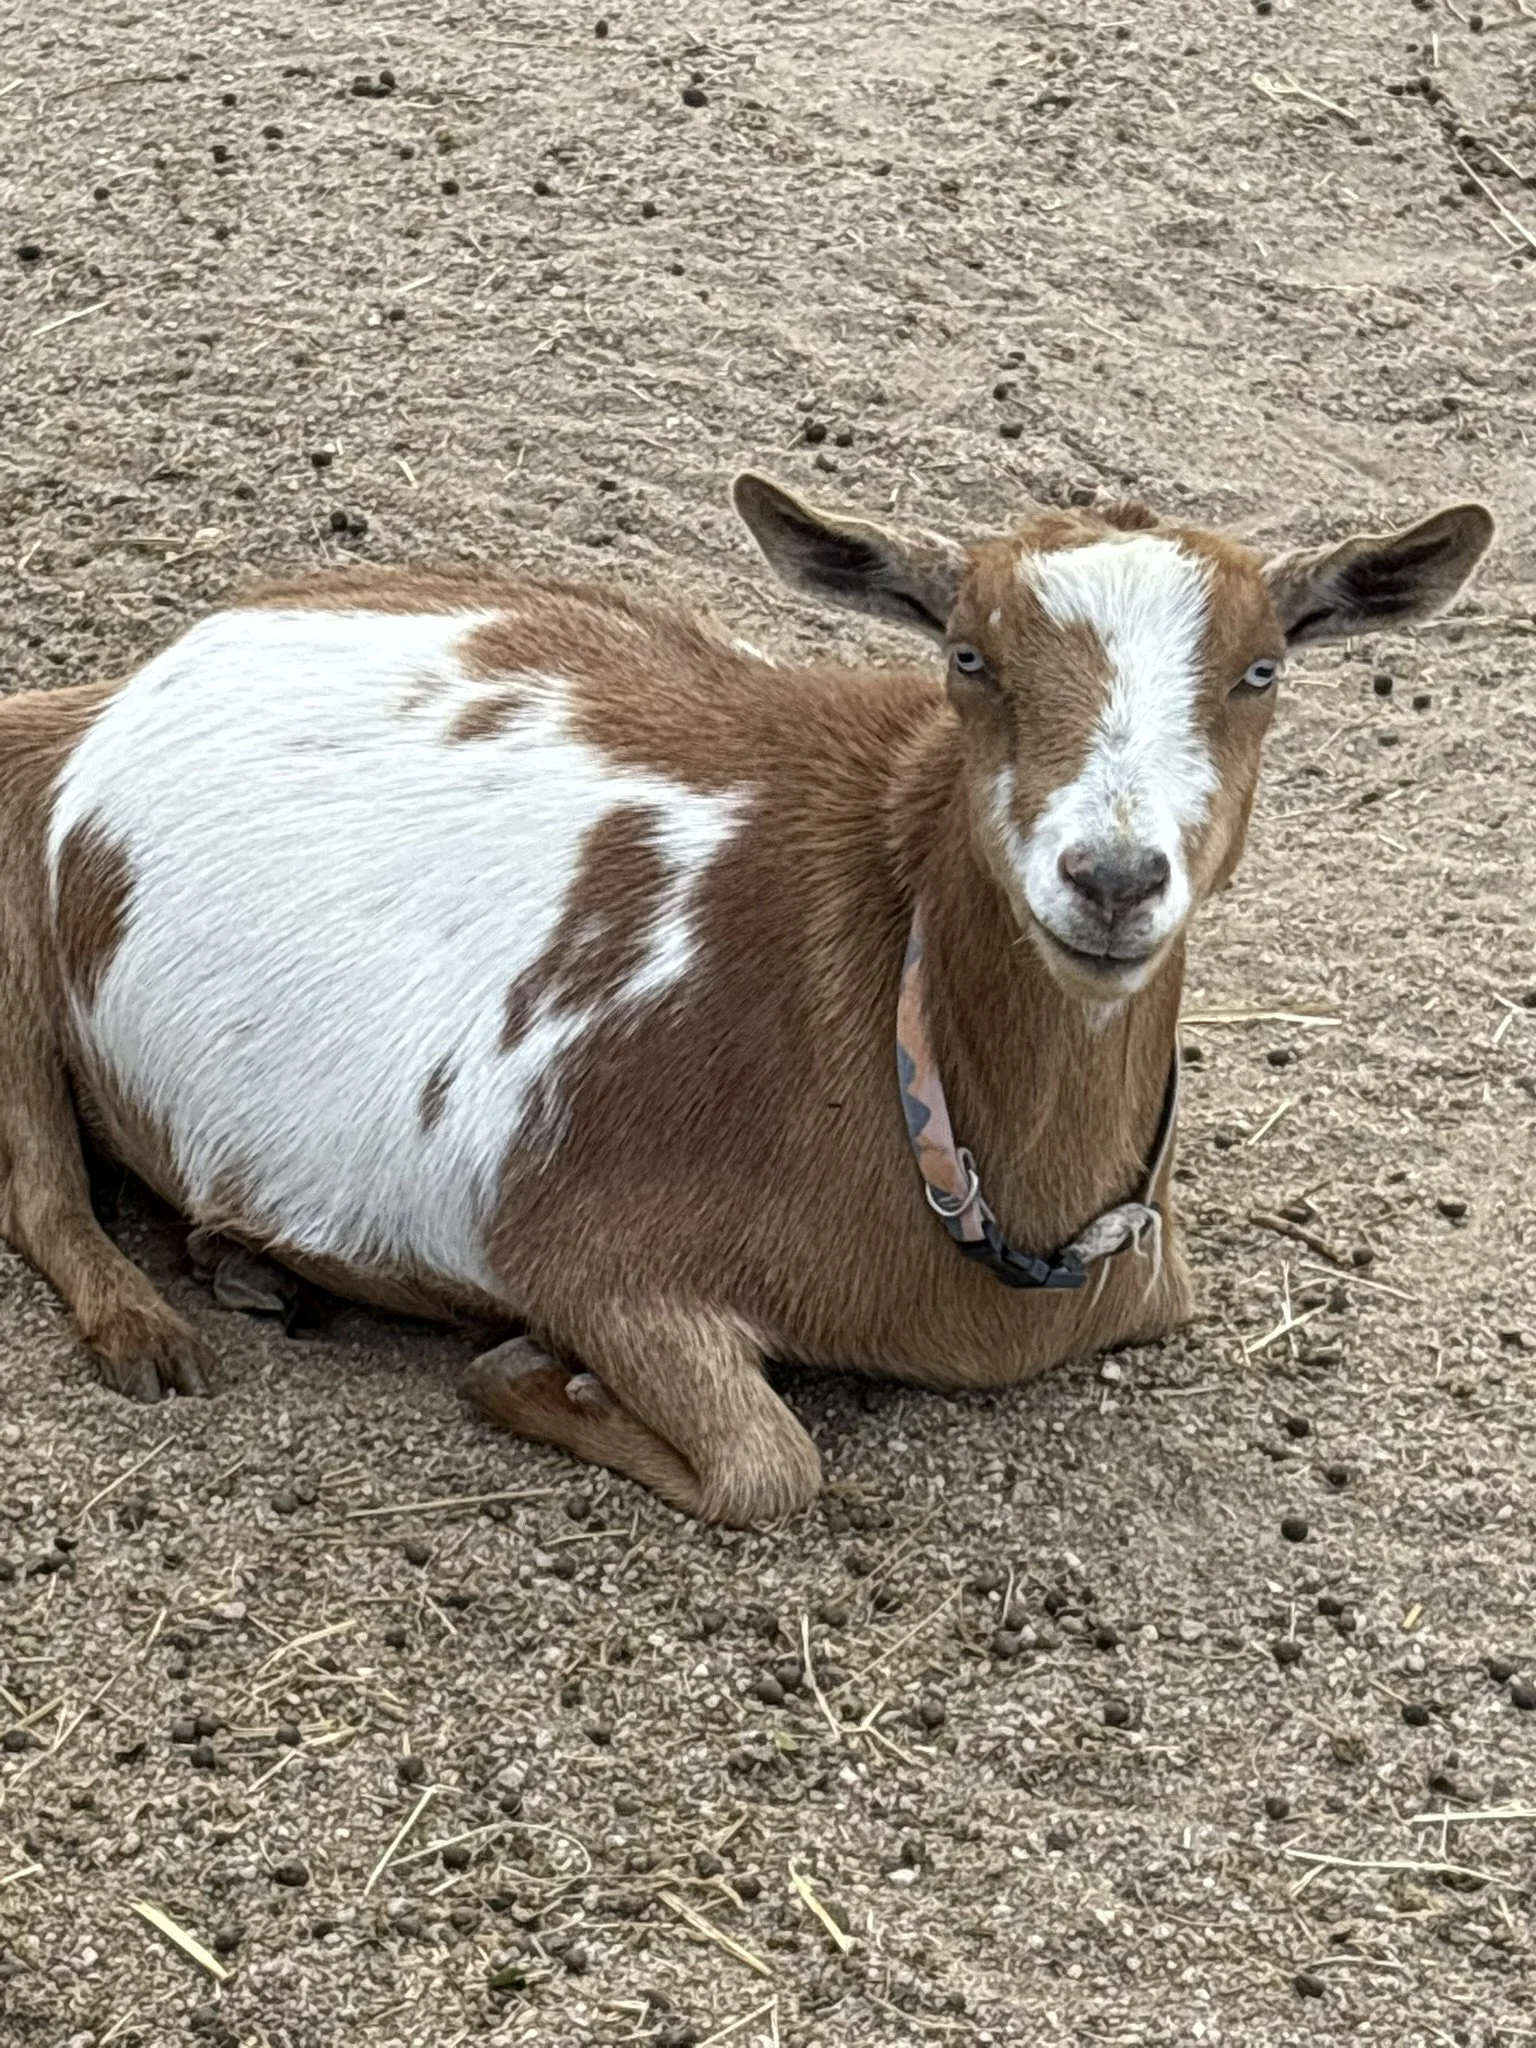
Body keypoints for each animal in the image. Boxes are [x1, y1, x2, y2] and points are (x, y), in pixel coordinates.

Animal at [0, 477, 1493, 1523]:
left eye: (1262, 669)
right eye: (967, 658)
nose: (1114, 877)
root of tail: (125, 688)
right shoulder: (588, 1246)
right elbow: (766, 1464)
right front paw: (532, 1370)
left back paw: (239, 1263)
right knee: (44, 1187)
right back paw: (150, 1325)